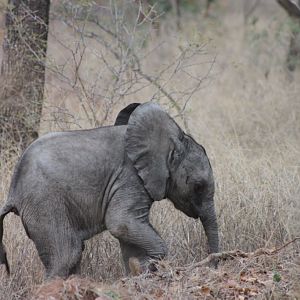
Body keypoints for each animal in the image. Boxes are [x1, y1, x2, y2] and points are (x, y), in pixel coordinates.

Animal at [0, 102, 218, 278]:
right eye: (198, 186)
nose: (214, 267)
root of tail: (13, 193)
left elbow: (128, 235)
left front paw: (137, 272)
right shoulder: (130, 177)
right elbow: (121, 223)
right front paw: (150, 266)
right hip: (44, 203)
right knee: (67, 254)